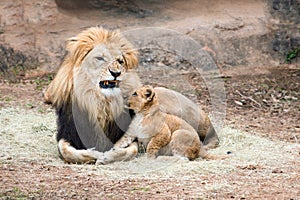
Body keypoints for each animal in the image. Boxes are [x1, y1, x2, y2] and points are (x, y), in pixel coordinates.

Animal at [94, 85, 227, 164]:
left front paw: (150, 158)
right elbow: (120, 142)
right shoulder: (130, 134)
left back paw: (162, 158)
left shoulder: (164, 132)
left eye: (135, 94)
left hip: (179, 133)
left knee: (182, 158)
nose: (124, 97)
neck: (140, 115)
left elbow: (151, 145)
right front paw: (112, 151)